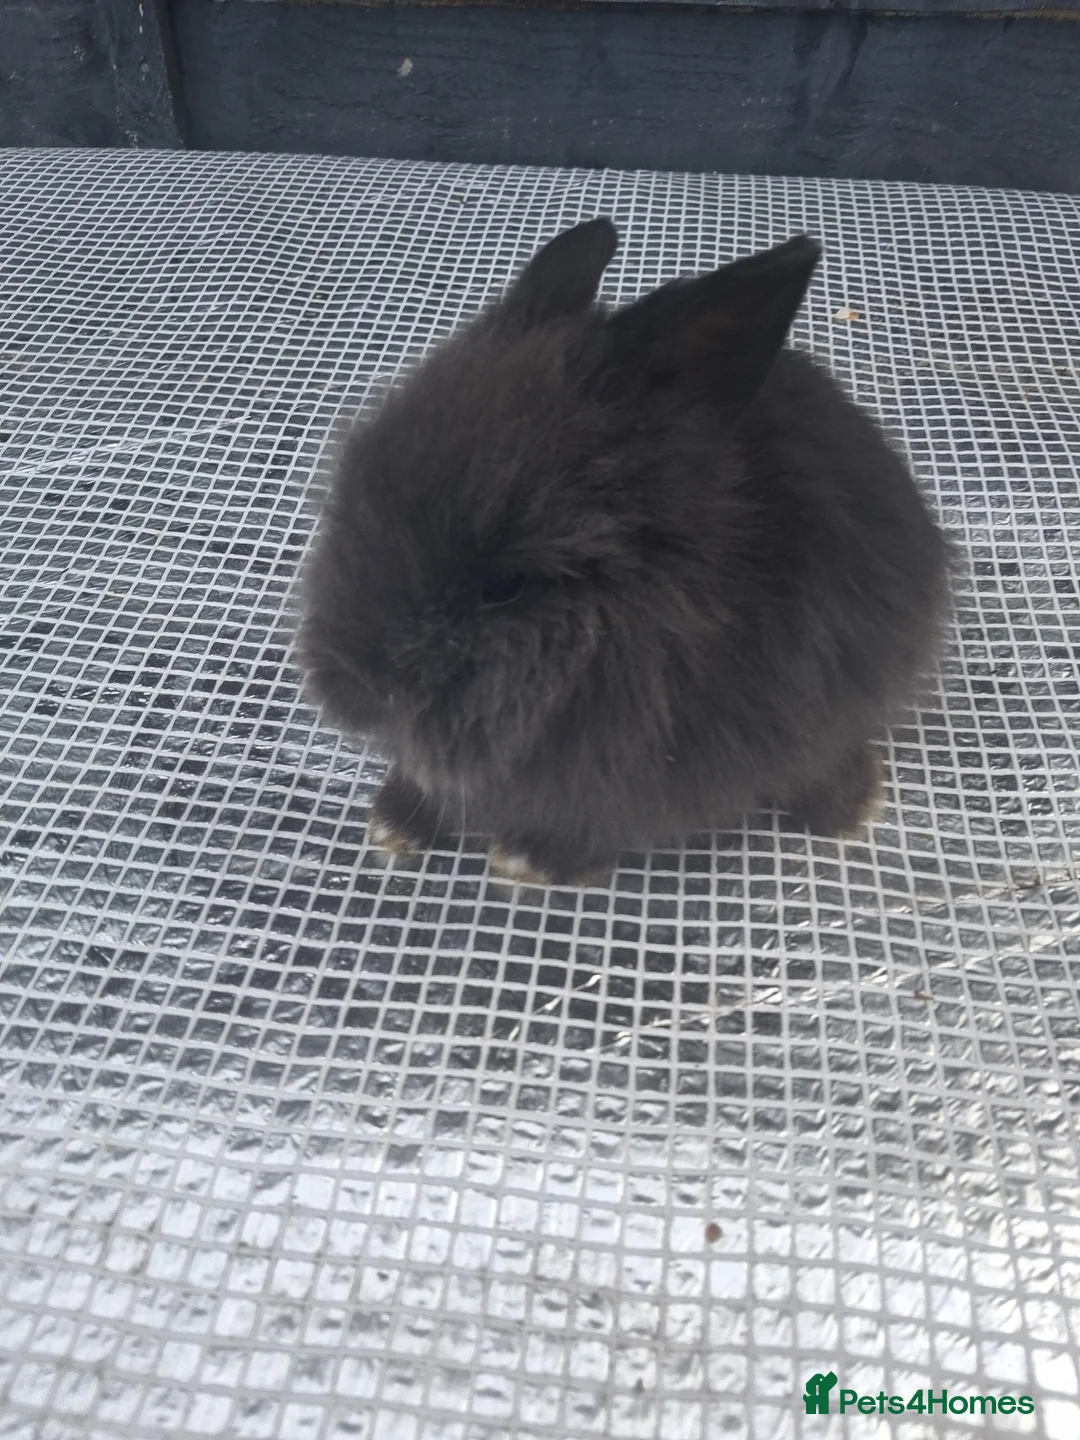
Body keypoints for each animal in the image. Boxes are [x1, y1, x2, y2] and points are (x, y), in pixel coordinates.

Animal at [295, 218, 952, 886]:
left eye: (505, 586)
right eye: (356, 490)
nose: (359, 686)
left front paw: (532, 859)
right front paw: (397, 822)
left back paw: (849, 810)